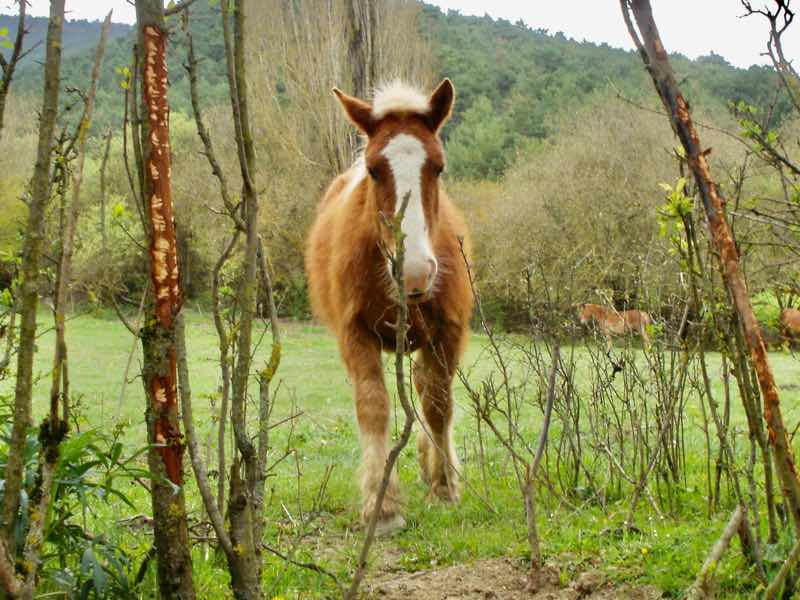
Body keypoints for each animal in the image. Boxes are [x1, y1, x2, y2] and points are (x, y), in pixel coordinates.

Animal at [305, 79, 473, 532]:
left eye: (438, 167)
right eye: (374, 169)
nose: (413, 272)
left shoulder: (448, 332)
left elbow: (438, 404)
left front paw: (444, 487)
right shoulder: (354, 335)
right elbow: (374, 406)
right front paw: (382, 506)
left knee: (426, 387)